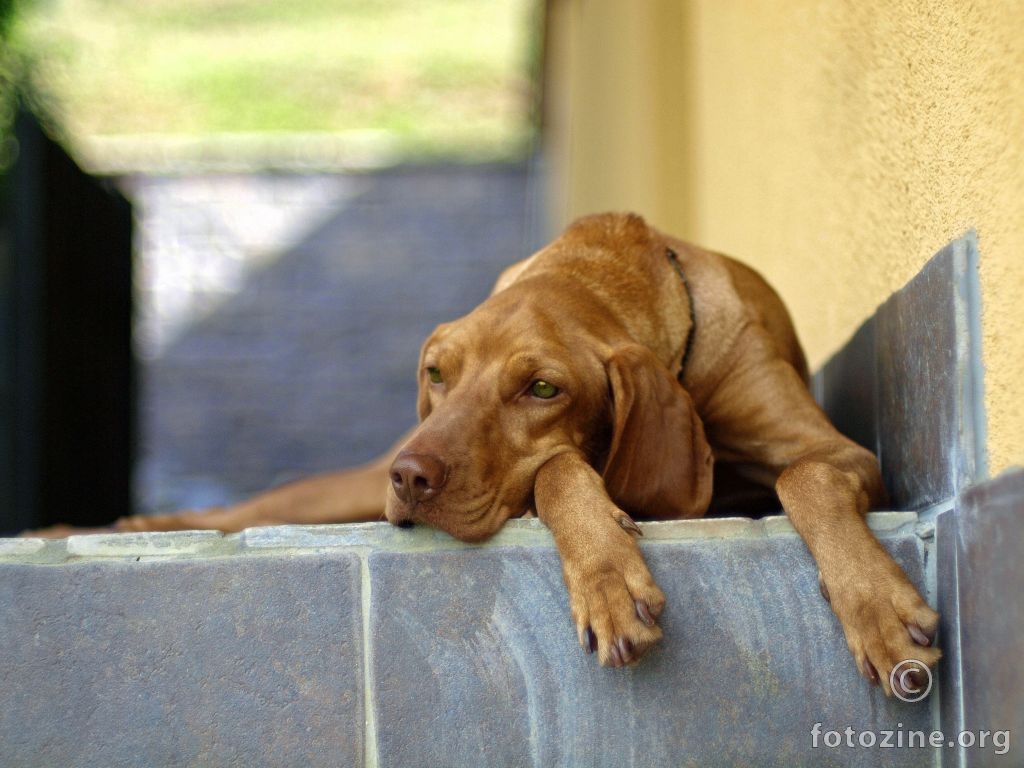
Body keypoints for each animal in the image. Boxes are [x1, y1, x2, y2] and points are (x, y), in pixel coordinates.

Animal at [86, 211, 937, 696]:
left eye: (541, 389)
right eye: (437, 373)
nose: (409, 476)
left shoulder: (840, 451)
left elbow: (806, 473)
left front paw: (879, 609)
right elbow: (559, 469)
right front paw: (607, 577)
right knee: (257, 504)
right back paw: (120, 527)